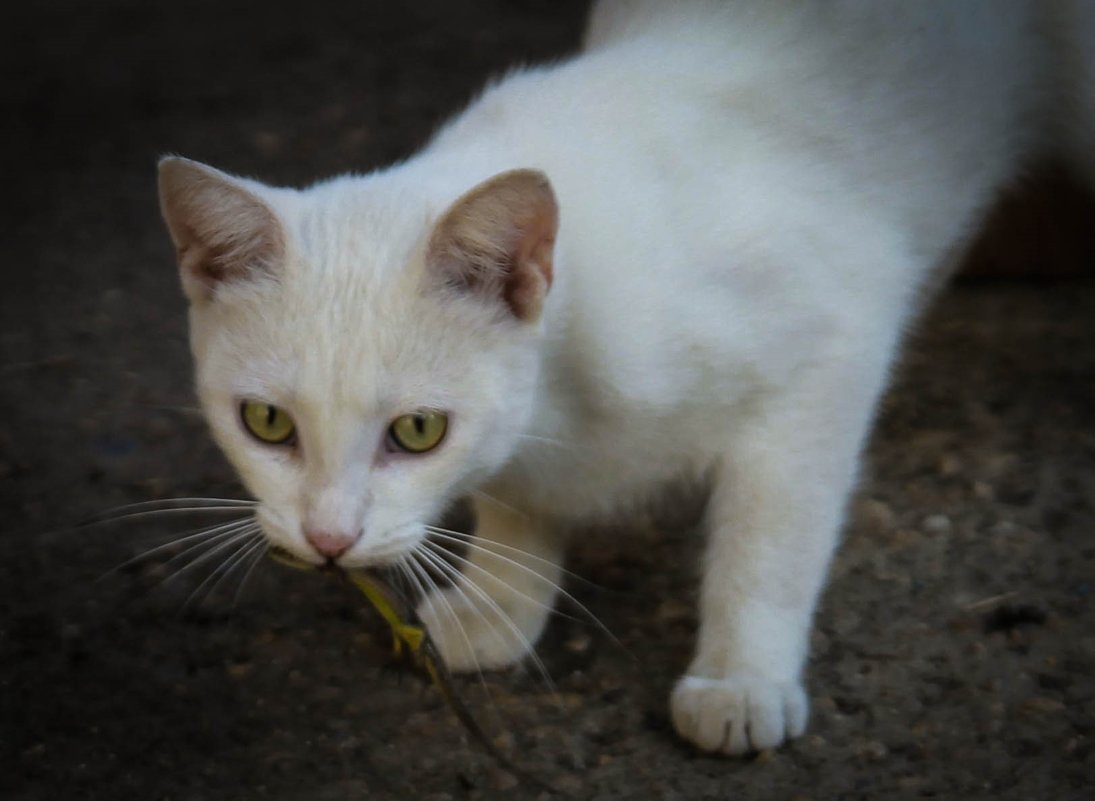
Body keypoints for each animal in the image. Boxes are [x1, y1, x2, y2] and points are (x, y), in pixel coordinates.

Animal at [156, 0, 1095, 757]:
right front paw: (500, 599)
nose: (328, 539)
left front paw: (740, 677)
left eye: (417, 430)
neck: (565, 390)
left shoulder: (832, 345)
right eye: (267, 422)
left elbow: (770, 536)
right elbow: (515, 496)